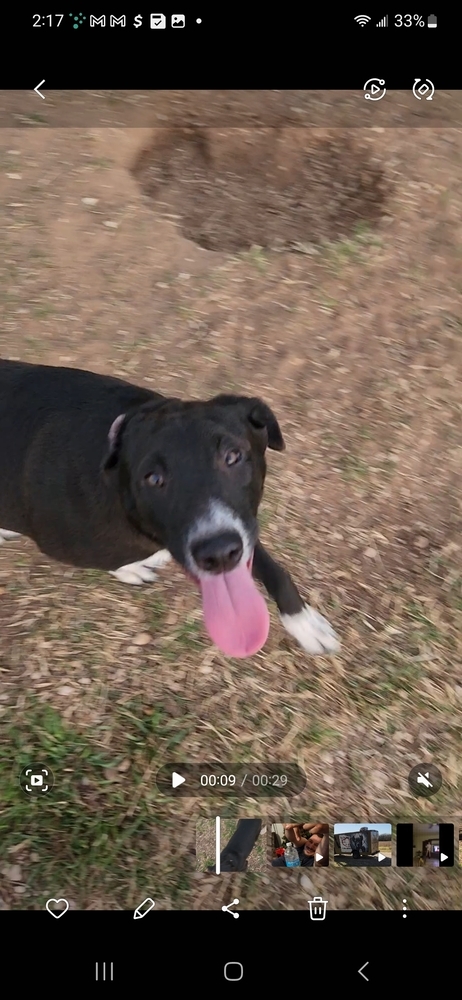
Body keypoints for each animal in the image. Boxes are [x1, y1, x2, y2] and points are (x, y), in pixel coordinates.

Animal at [0, 360, 340, 656]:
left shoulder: (241, 529)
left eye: (233, 456)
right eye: (153, 478)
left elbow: (272, 568)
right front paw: (130, 568)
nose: (218, 554)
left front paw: (304, 622)